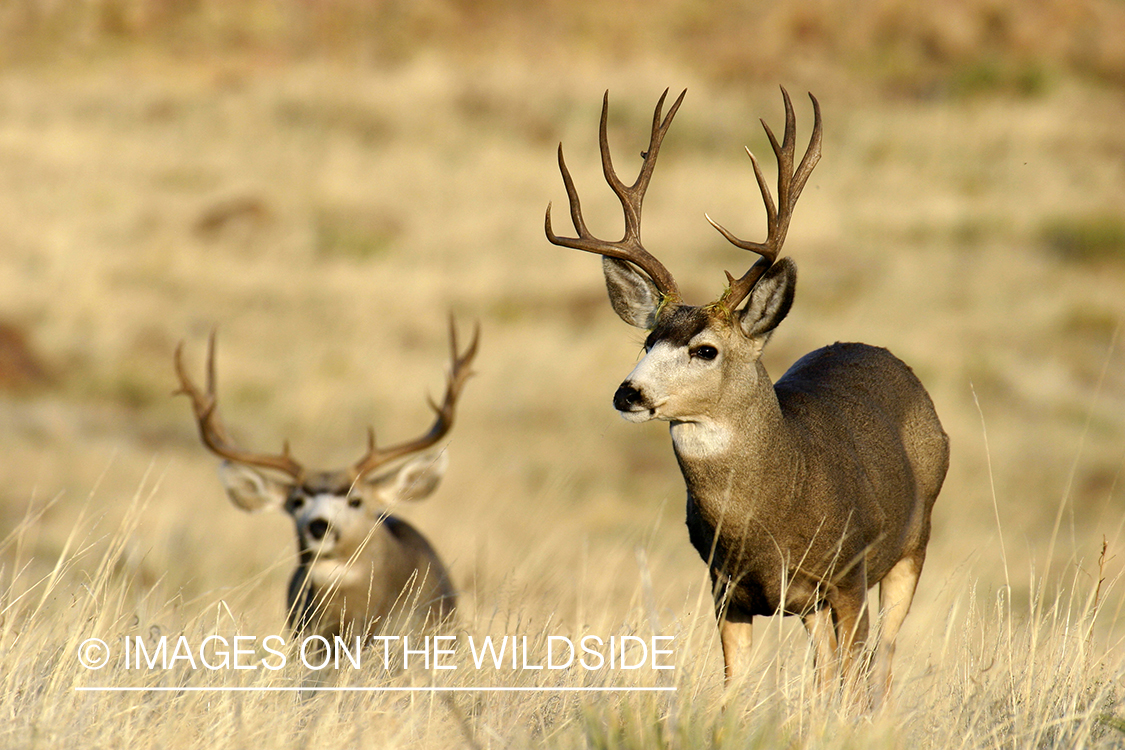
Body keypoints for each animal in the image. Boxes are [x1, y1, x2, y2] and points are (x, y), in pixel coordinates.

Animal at [545, 88, 949, 696]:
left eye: (705, 350)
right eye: (648, 340)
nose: (628, 393)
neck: (774, 511)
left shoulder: (849, 575)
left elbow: (855, 682)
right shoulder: (725, 589)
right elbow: (734, 689)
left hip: (911, 545)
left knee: (881, 664)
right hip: (811, 605)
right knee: (825, 668)